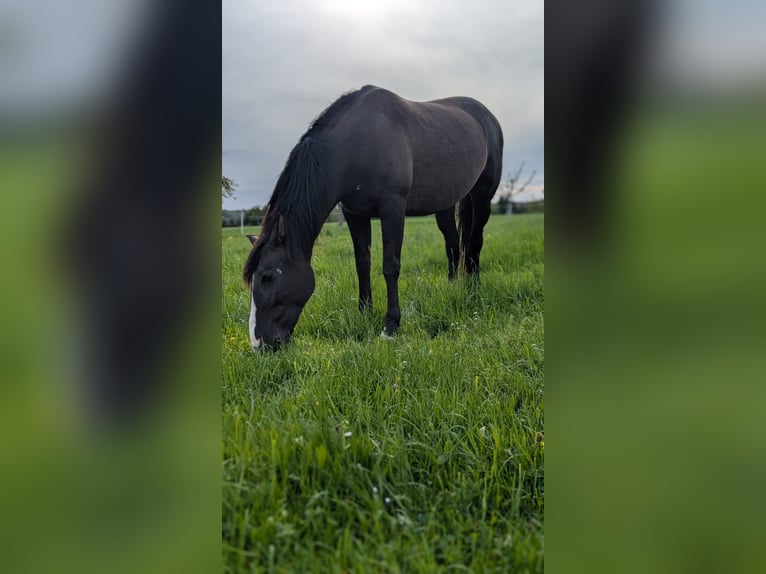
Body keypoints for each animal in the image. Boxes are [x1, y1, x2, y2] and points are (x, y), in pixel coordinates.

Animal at [243, 85, 503, 349]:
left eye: (267, 276)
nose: (259, 343)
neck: (357, 145)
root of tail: (487, 116)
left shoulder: (392, 209)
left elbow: (390, 266)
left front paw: (391, 325)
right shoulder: (354, 214)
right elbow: (362, 263)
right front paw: (364, 312)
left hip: (482, 195)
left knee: (474, 243)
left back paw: (473, 290)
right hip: (446, 204)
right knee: (452, 244)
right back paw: (452, 287)